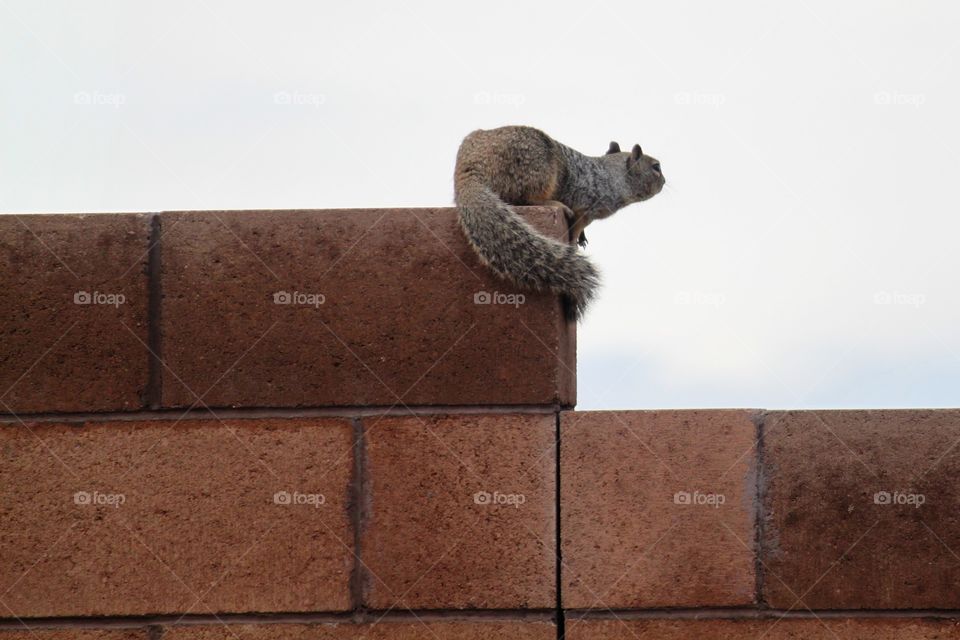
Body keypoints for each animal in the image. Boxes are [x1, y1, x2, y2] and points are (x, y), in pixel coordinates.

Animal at [454, 125, 664, 322]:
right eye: (656, 167)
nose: (664, 181)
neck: (611, 177)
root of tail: (469, 166)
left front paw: (582, 238)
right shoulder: (586, 207)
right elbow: (577, 225)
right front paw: (574, 242)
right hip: (535, 170)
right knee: (525, 198)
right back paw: (555, 204)